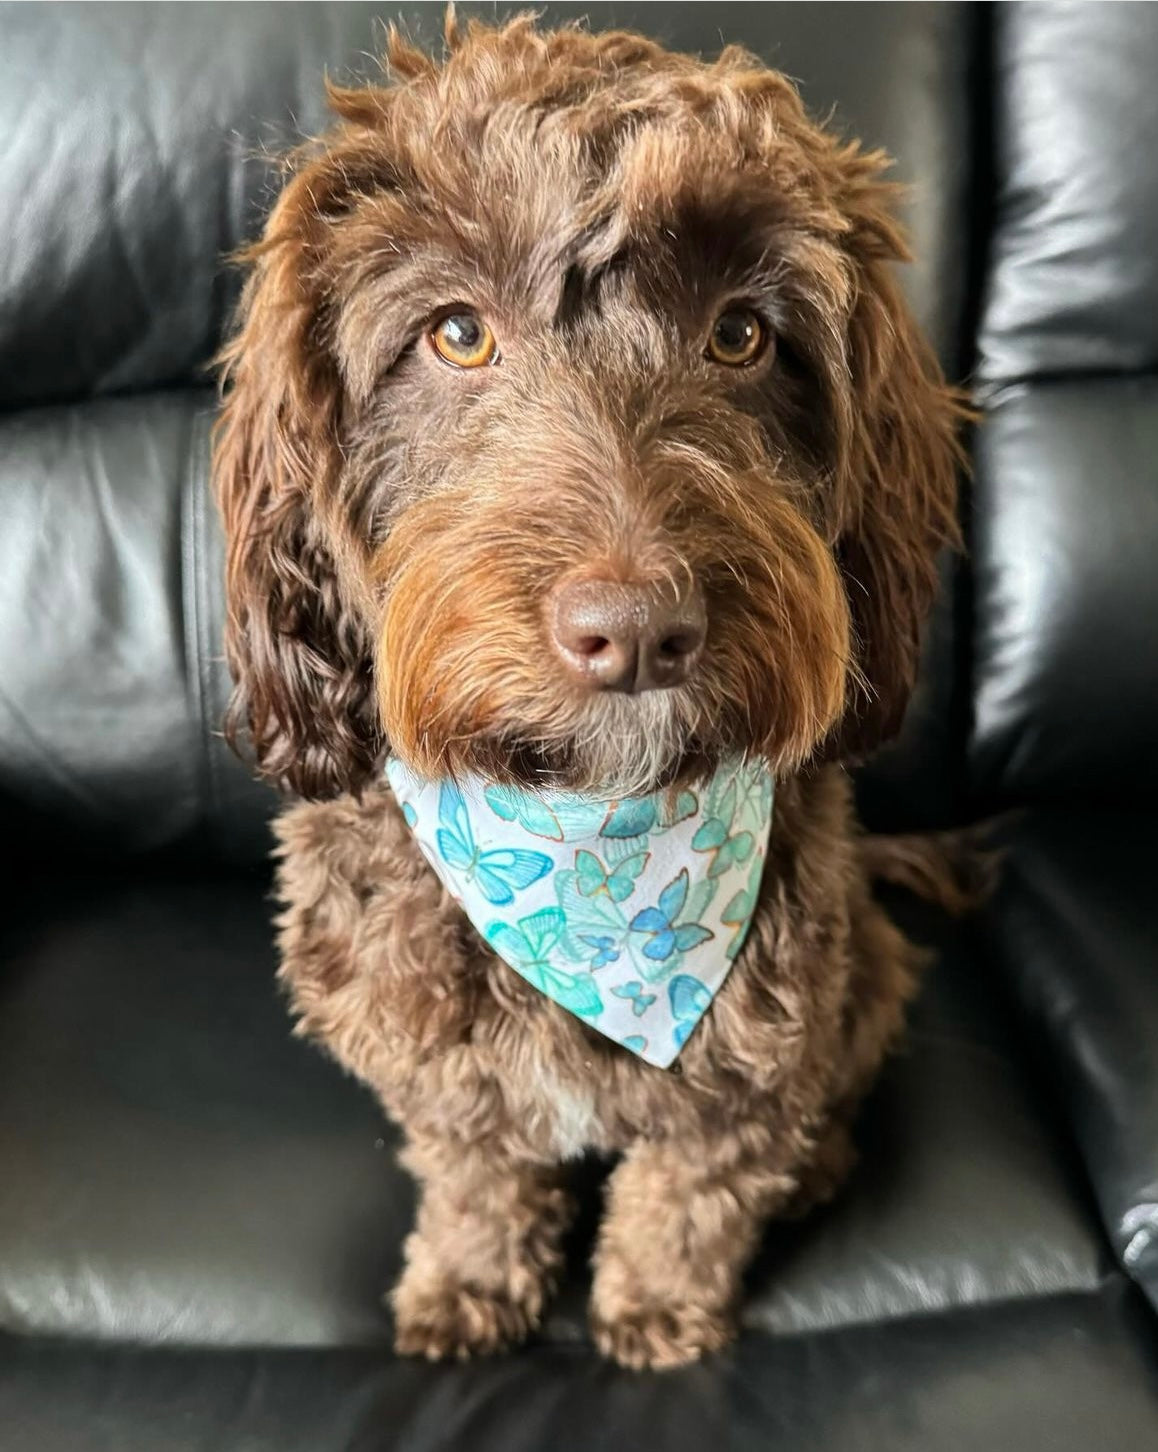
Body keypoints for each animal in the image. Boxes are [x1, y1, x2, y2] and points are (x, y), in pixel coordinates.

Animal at [213, 11, 963, 1370]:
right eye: (457, 334)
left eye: (742, 334)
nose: (638, 632)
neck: (588, 842)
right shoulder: (432, 1048)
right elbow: (476, 1171)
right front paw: (470, 1279)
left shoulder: (755, 1055)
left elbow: (692, 1194)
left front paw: (658, 1307)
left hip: (864, 964)